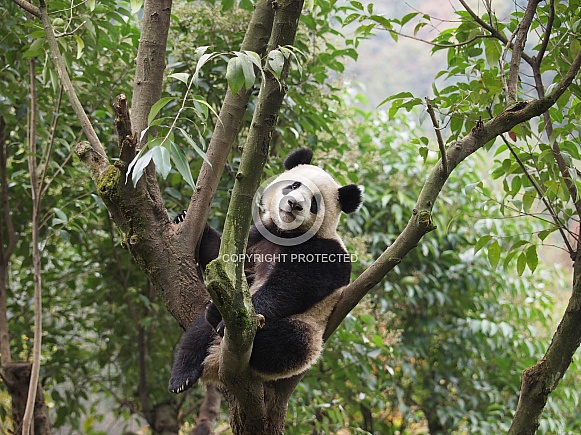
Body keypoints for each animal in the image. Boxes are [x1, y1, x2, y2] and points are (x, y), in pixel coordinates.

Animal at [168, 148, 360, 394]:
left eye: (315, 203)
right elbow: (221, 257)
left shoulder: (325, 251)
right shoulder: (259, 237)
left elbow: (293, 286)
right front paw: (183, 217)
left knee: (286, 342)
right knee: (197, 333)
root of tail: (215, 363)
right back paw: (182, 376)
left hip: (309, 330)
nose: (294, 204)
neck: (286, 234)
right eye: (294, 185)